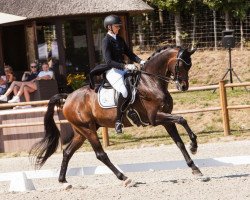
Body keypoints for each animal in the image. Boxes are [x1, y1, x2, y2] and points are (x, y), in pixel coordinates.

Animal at [30, 45, 203, 186]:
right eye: (180, 65)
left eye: (190, 65)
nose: (183, 86)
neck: (151, 82)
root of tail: (68, 97)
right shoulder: (155, 118)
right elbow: (182, 119)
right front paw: (194, 146)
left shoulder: (166, 118)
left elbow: (179, 142)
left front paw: (195, 167)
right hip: (87, 129)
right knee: (100, 154)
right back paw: (125, 178)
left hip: (81, 131)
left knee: (67, 152)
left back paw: (63, 181)